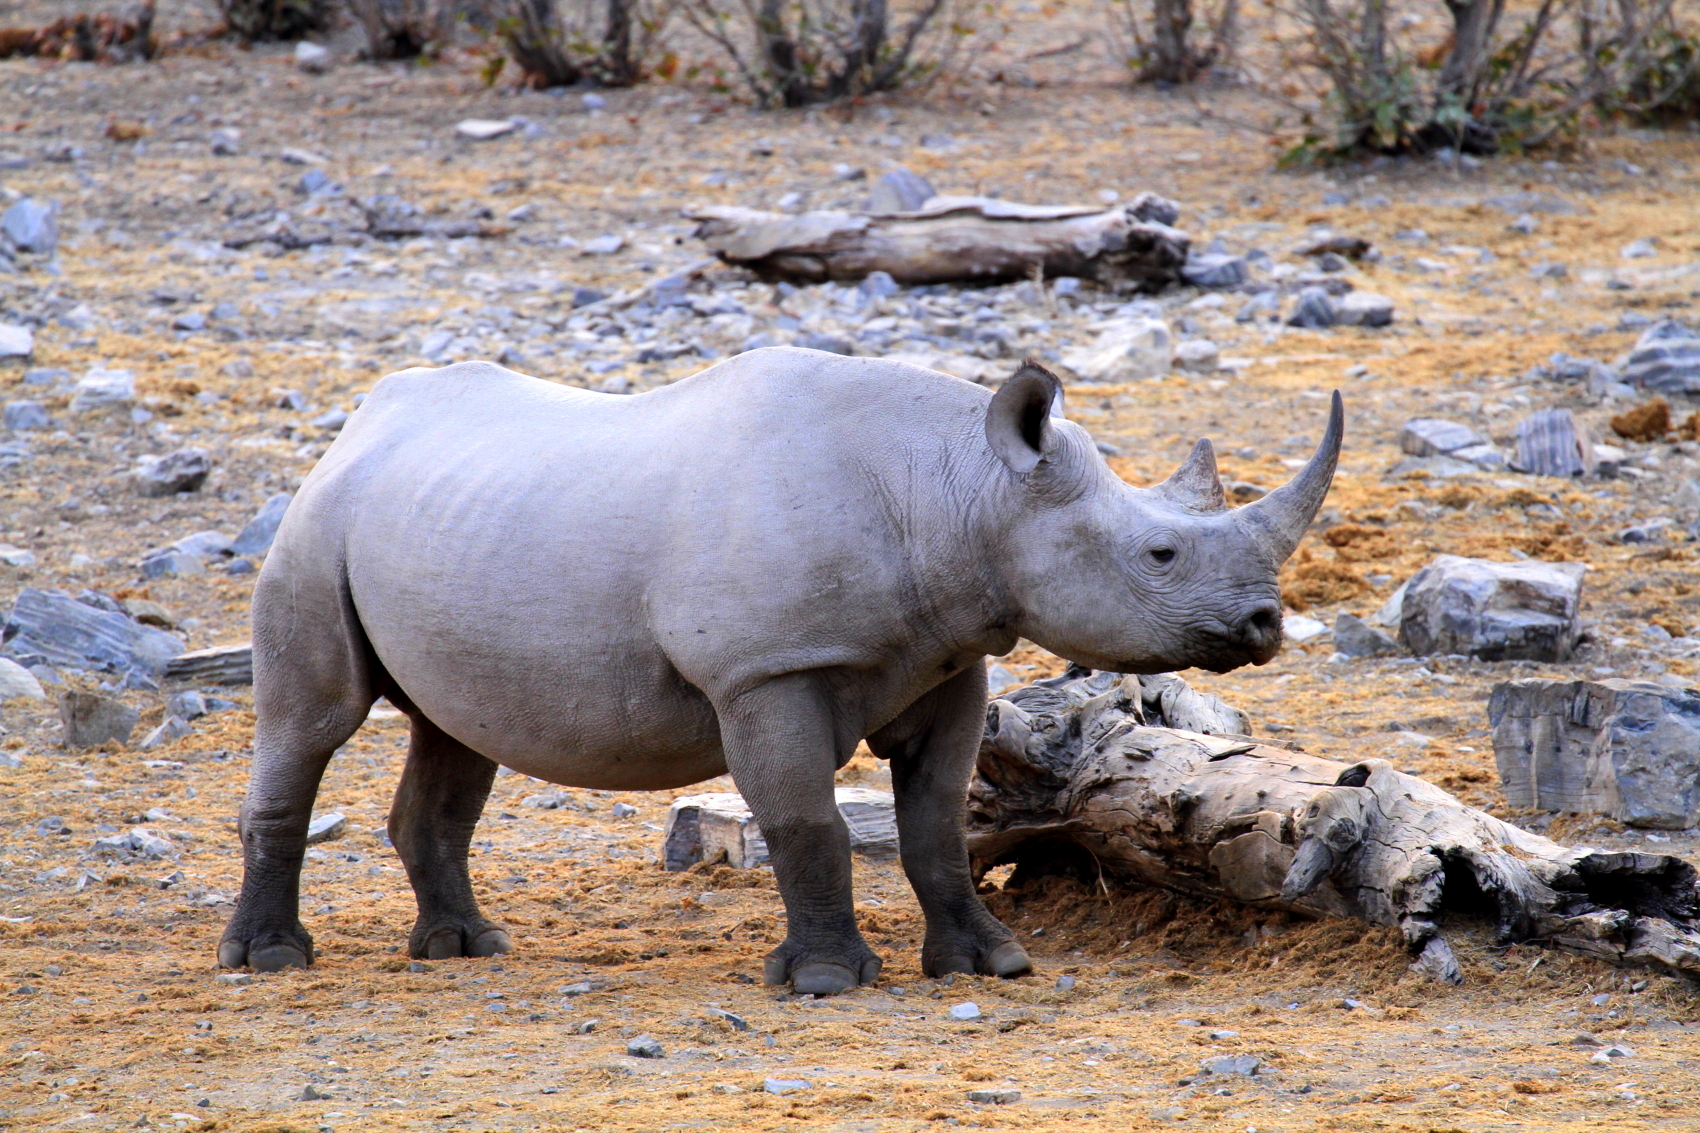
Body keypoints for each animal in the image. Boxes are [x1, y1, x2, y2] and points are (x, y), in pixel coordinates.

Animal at [218, 347, 1342, 995]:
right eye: (1159, 553)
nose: (1262, 622)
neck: (965, 488)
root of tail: (356, 425)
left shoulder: (948, 658)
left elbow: (935, 823)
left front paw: (993, 963)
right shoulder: (764, 670)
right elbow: (805, 820)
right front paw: (826, 980)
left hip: (446, 520)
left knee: (454, 734)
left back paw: (466, 948)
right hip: (312, 531)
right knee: (314, 719)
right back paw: (271, 961)